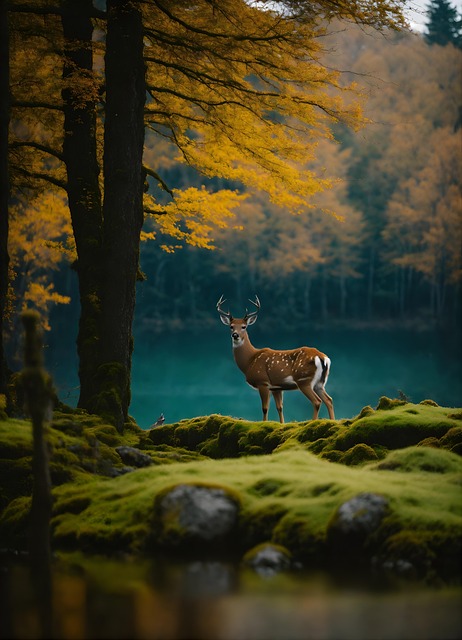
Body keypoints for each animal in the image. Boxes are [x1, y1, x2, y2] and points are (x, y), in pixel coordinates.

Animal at [217, 295, 335, 424]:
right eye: (231, 326)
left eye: (244, 326)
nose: (235, 335)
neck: (249, 361)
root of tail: (323, 358)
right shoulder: (276, 387)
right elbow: (280, 407)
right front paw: (282, 424)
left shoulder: (262, 382)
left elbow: (265, 408)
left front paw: (264, 423)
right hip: (320, 382)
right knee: (329, 400)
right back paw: (332, 421)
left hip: (304, 380)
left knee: (317, 401)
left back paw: (313, 422)